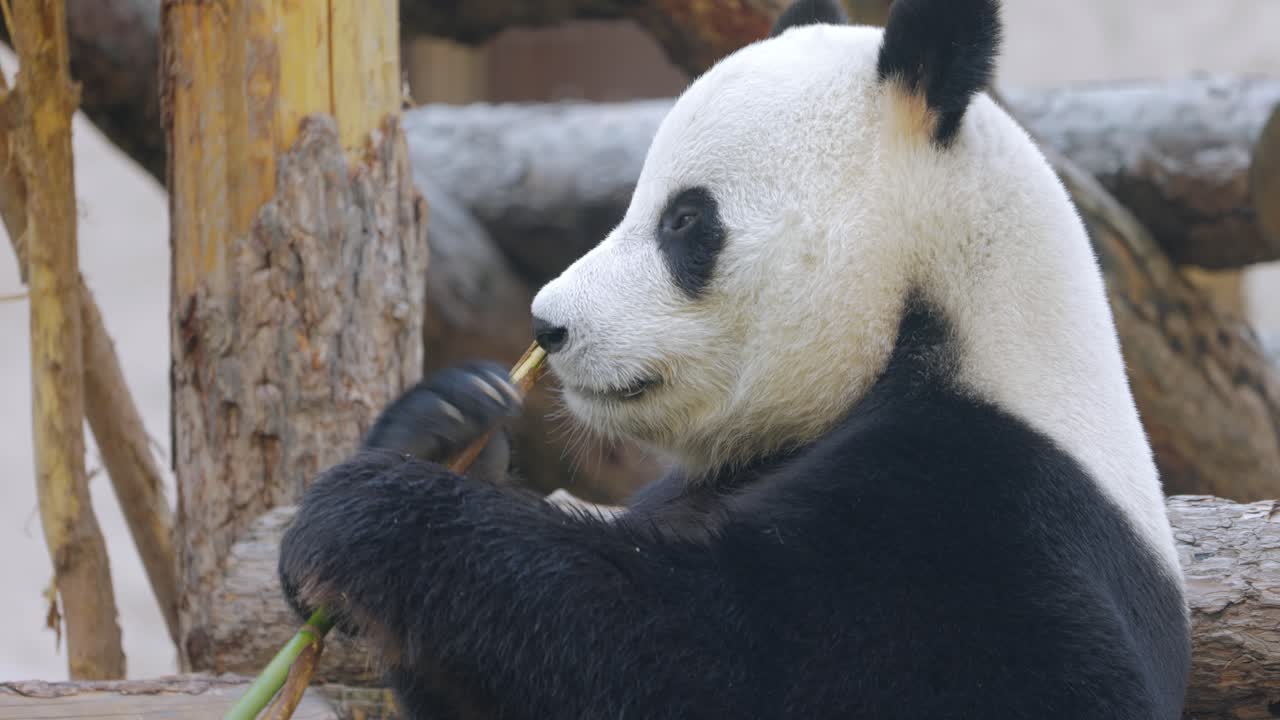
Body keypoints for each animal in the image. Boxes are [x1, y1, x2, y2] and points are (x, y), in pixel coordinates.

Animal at [278, 0, 1192, 717]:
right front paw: (445, 425)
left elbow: (722, 656)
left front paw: (376, 517)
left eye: (685, 220)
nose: (548, 325)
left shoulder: (991, 525)